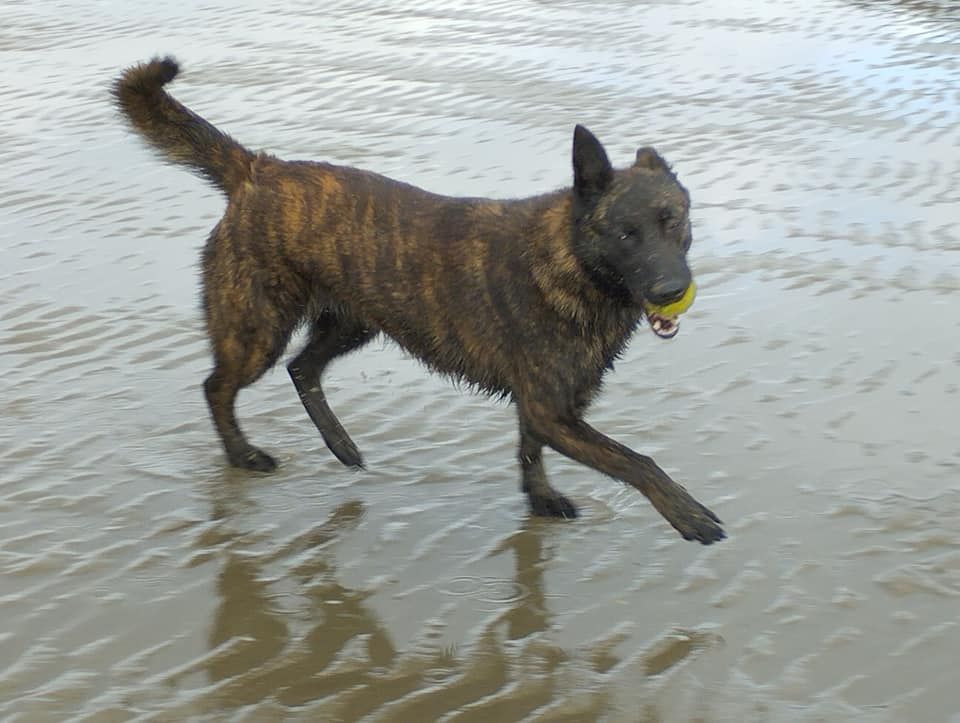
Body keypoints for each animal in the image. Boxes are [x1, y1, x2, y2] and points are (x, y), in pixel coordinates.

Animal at [112, 56, 724, 544]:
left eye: (673, 221)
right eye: (625, 234)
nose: (671, 292)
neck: (572, 262)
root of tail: (257, 169)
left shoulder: (543, 409)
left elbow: (529, 451)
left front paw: (540, 499)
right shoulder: (552, 410)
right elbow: (637, 461)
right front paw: (688, 514)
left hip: (353, 324)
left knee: (303, 369)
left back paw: (341, 445)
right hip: (258, 330)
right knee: (219, 386)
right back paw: (243, 454)